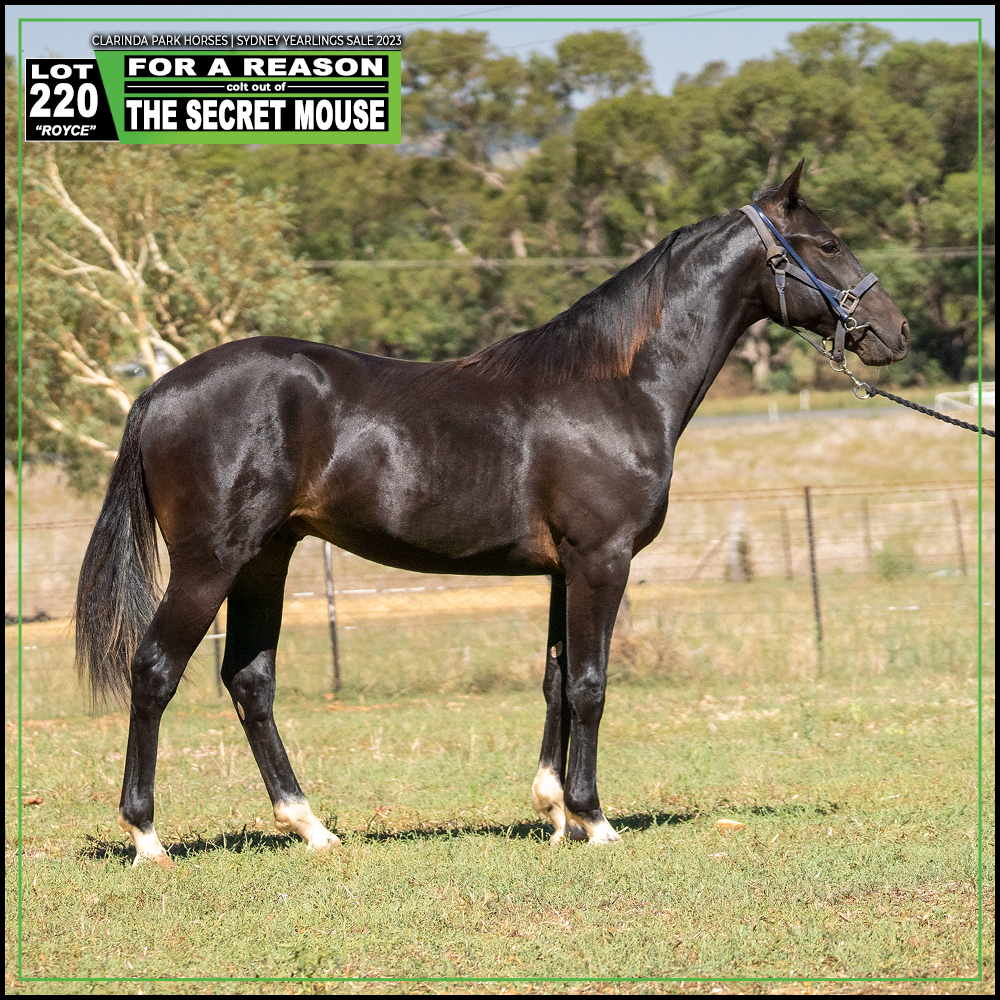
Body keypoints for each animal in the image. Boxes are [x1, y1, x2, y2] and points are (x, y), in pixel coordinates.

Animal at [75, 164, 908, 866]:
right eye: (828, 243)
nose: (894, 333)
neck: (617, 384)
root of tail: (158, 391)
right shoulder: (602, 559)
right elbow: (591, 684)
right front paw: (594, 818)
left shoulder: (564, 569)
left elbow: (555, 679)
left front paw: (555, 812)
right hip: (210, 564)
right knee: (154, 671)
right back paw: (147, 837)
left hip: (264, 560)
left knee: (250, 681)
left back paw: (311, 826)